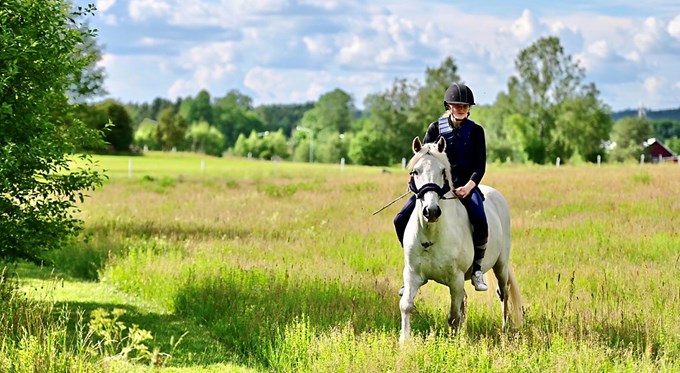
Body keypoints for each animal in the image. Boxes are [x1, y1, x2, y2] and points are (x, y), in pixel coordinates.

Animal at [398, 135, 520, 342]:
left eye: (443, 171)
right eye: (415, 171)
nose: (431, 211)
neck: (431, 234)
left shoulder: (455, 279)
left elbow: (454, 316)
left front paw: (454, 343)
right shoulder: (412, 274)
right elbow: (406, 305)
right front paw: (404, 342)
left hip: (501, 265)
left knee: (503, 293)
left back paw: (505, 329)